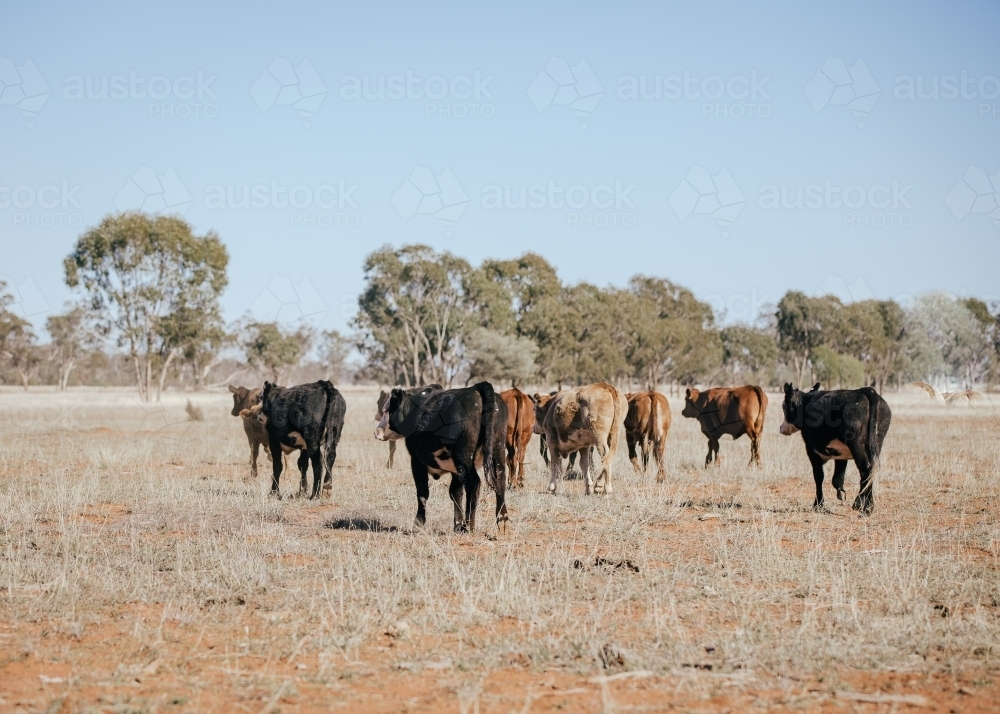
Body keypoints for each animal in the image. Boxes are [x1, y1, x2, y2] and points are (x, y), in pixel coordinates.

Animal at [375, 382, 508, 534]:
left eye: (386, 410)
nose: (377, 431)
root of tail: (476, 389)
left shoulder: (416, 462)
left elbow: (422, 493)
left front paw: (418, 524)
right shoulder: (455, 471)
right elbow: (456, 493)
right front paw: (457, 524)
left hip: (463, 457)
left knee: (474, 483)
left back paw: (470, 525)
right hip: (497, 451)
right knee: (499, 481)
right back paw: (503, 521)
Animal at [779, 383, 891, 514]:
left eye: (783, 406)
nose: (781, 428)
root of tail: (866, 390)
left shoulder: (811, 450)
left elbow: (819, 476)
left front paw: (818, 504)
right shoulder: (841, 456)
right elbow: (838, 477)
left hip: (856, 444)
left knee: (865, 469)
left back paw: (863, 507)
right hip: (876, 442)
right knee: (871, 469)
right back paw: (866, 505)